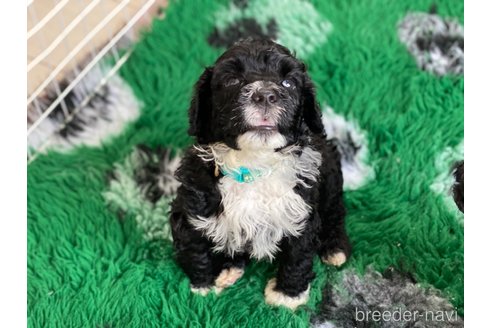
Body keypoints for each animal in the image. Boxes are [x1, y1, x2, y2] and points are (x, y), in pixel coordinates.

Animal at [171, 38, 352, 310]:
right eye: (233, 80)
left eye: (288, 82)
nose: (265, 95)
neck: (253, 164)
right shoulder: (192, 207)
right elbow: (195, 249)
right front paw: (205, 285)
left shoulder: (302, 210)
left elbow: (298, 254)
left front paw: (287, 295)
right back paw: (230, 268)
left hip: (330, 179)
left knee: (335, 212)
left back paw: (335, 248)